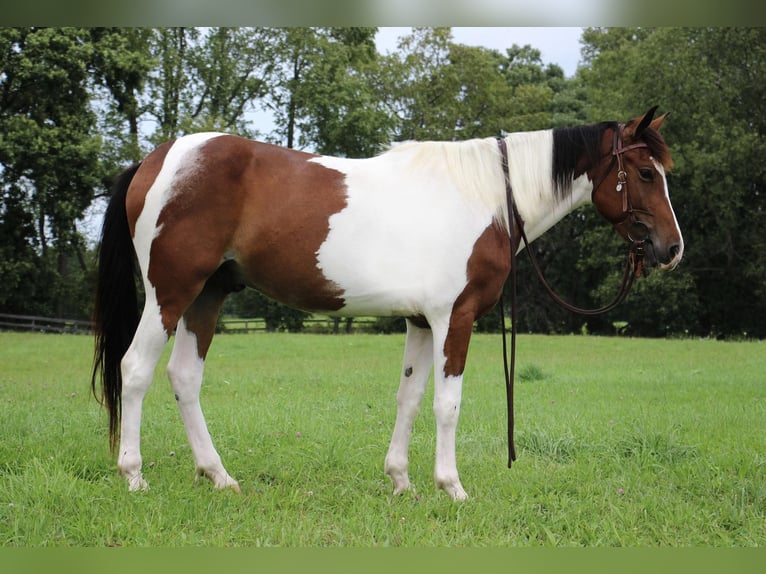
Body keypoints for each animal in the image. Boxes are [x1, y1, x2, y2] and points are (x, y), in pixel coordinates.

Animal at [90, 106, 684, 502]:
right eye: (646, 173)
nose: (672, 249)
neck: (488, 196)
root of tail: (156, 159)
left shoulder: (421, 321)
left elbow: (411, 398)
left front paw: (401, 481)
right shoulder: (454, 319)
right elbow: (448, 403)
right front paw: (451, 487)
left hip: (207, 295)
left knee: (185, 377)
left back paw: (218, 475)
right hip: (170, 293)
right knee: (136, 369)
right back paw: (134, 475)